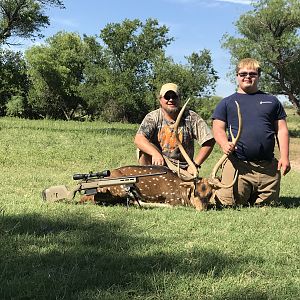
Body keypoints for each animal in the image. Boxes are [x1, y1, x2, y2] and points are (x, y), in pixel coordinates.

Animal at [81, 99, 241, 210]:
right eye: (195, 192)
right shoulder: (170, 197)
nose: (201, 209)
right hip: (118, 188)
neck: (182, 193)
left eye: (209, 194)